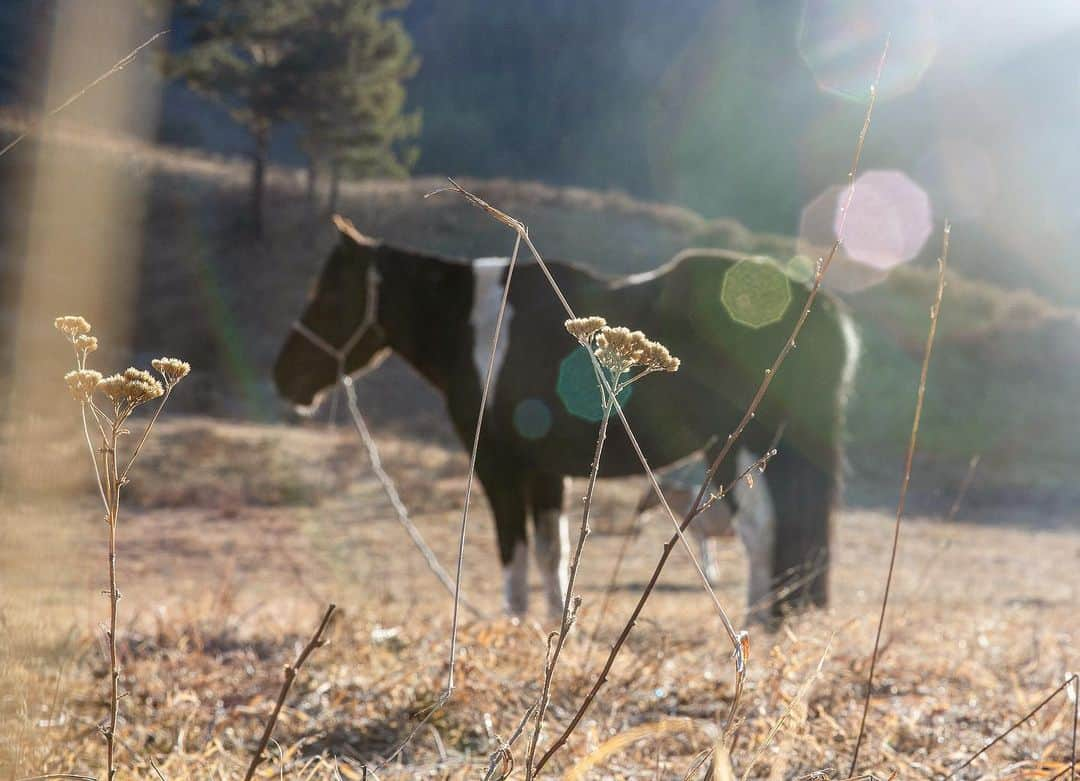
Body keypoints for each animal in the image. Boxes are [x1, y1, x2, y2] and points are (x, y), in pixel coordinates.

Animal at [276, 217, 859, 626]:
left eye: (330, 294)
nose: (284, 377)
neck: (478, 328)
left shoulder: (499, 468)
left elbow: (514, 553)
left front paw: (513, 627)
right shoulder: (545, 473)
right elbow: (551, 553)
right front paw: (554, 627)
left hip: (741, 445)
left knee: (762, 532)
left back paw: (755, 622)